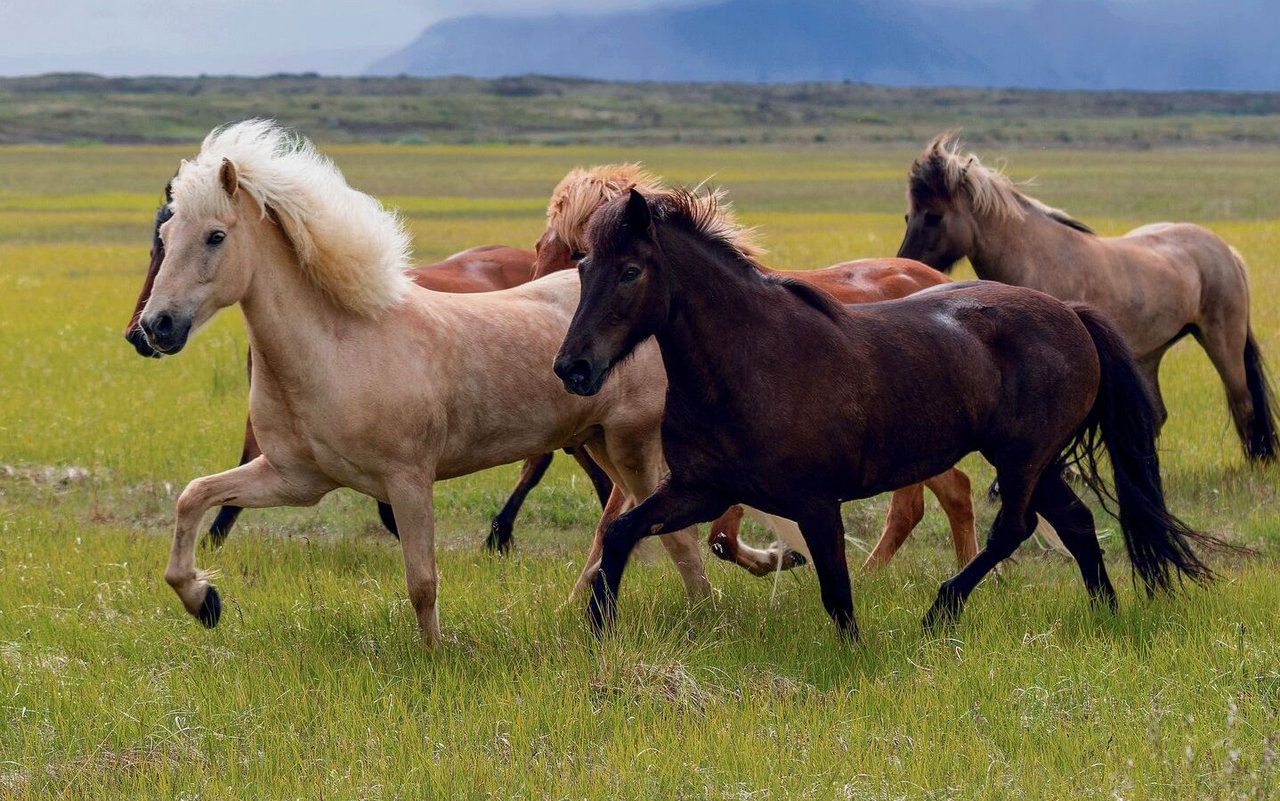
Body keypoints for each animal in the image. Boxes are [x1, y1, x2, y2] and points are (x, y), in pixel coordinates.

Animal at [529, 163, 977, 573]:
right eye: (540, 248)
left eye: (576, 254)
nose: (569, 365)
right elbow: (617, 527)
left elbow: (719, 536)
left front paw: (780, 556)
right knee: (940, 496)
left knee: (934, 499)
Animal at [558, 186, 1218, 637]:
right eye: (583, 267)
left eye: (631, 270)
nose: (573, 367)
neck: (747, 362)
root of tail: (1071, 314)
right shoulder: (701, 490)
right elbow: (622, 533)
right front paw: (598, 626)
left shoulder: (815, 502)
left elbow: (837, 594)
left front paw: (855, 652)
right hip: (1039, 461)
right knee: (1076, 523)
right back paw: (1105, 611)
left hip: (1023, 458)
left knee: (1015, 527)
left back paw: (941, 610)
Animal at [896, 133, 1274, 460]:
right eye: (908, 215)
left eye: (934, 216)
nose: (905, 261)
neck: (1036, 260)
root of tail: (1225, 250)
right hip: (1150, 354)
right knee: (1158, 414)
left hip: (1221, 341)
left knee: (1243, 404)